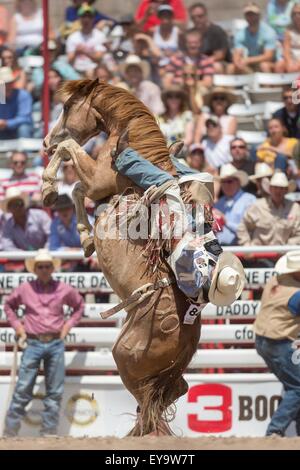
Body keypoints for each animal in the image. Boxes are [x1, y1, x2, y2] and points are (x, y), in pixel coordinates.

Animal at [42, 81, 202, 436]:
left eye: (66, 107)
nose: (45, 142)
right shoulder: (97, 187)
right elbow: (76, 189)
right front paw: (87, 239)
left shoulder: (97, 180)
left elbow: (70, 154)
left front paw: (47, 189)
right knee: (172, 391)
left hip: (124, 357)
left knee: (148, 399)